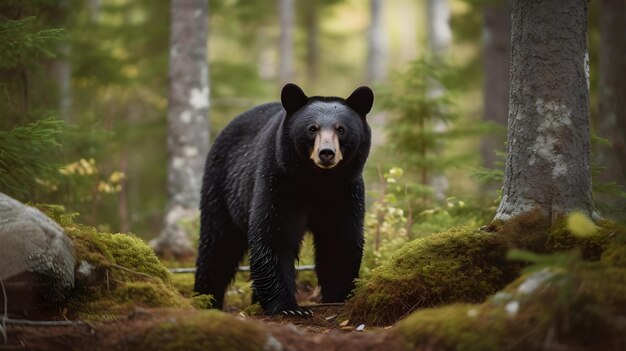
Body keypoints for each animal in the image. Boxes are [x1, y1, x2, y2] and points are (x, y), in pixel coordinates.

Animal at [193, 83, 372, 316]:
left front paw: (338, 298)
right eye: (312, 128)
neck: (317, 180)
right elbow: (275, 234)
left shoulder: (344, 191)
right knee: (217, 246)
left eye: (341, 129)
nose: (326, 153)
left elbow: (339, 241)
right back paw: (205, 299)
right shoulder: (279, 181)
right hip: (221, 189)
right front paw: (289, 307)